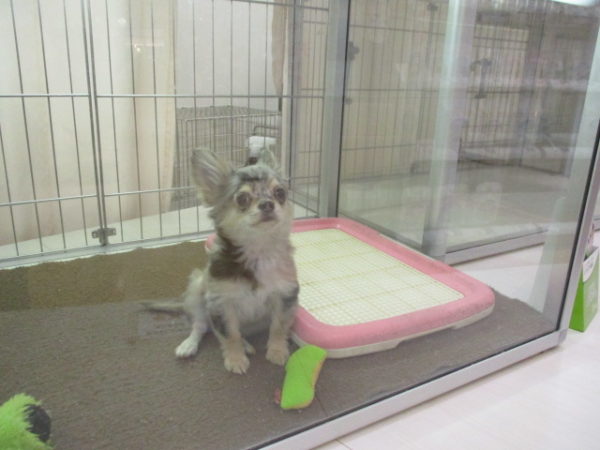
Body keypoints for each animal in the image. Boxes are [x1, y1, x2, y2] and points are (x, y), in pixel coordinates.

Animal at [145, 149, 299, 374]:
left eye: (280, 193)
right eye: (242, 199)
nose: (268, 204)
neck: (256, 253)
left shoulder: (284, 296)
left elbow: (278, 327)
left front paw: (277, 351)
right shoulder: (221, 303)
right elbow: (230, 333)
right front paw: (235, 359)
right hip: (198, 291)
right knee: (201, 326)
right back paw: (189, 345)